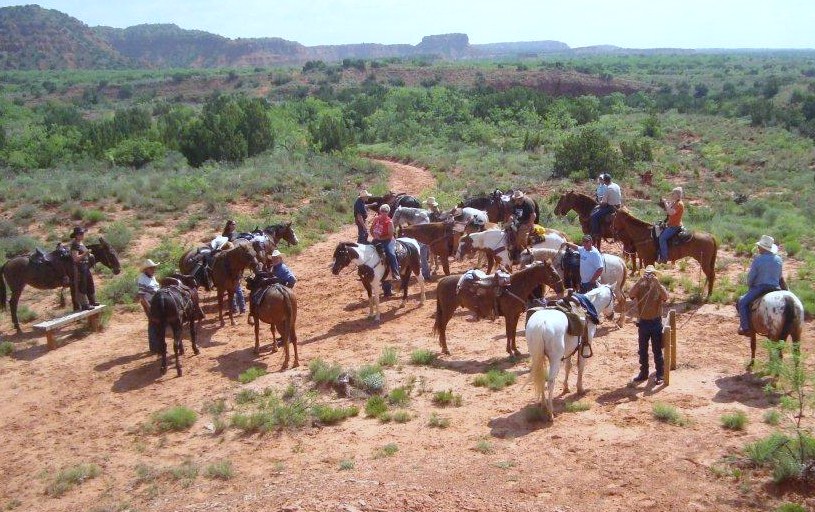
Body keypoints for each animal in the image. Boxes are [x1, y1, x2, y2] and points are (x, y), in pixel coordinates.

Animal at [436, 260, 564, 356]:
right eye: (552, 273)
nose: (561, 288)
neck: (514, 287)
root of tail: (442, 281)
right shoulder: (509, 315)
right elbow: (508, 332)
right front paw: (510, 352)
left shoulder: (516, 315)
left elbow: (513, 332)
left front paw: (515, 350)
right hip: (448, 310)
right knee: (442, 327)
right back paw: (446, 349)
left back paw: (443, 347)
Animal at [524, 284, 620, 420]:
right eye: (614, 298)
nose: (612, 315)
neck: (588, 309)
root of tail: (541, 325)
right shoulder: (585, 346)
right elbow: (580, 367)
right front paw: (580, 389)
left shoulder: (570, 349)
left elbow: (568, 367)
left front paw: (566, 388)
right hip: (554, 359)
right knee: (551, 382)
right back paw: (550, 412)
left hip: (537, 357)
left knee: (541, 377)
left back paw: (543, 405)